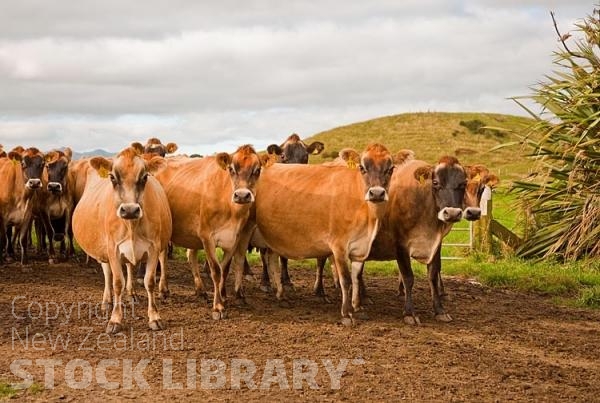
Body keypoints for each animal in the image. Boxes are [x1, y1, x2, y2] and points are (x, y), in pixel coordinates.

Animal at [72, 146, 172, 334]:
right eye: (112, 177)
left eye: (145, 177)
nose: (130, 210)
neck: (132, 225)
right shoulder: (113, 249)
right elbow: (117, 282)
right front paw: (115, 319)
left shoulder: (154, 248)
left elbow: (149, 282)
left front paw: (154, 317)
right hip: (103, 249)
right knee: (107, 273)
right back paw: (107, 301)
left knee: (130, 267)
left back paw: (132, 294)